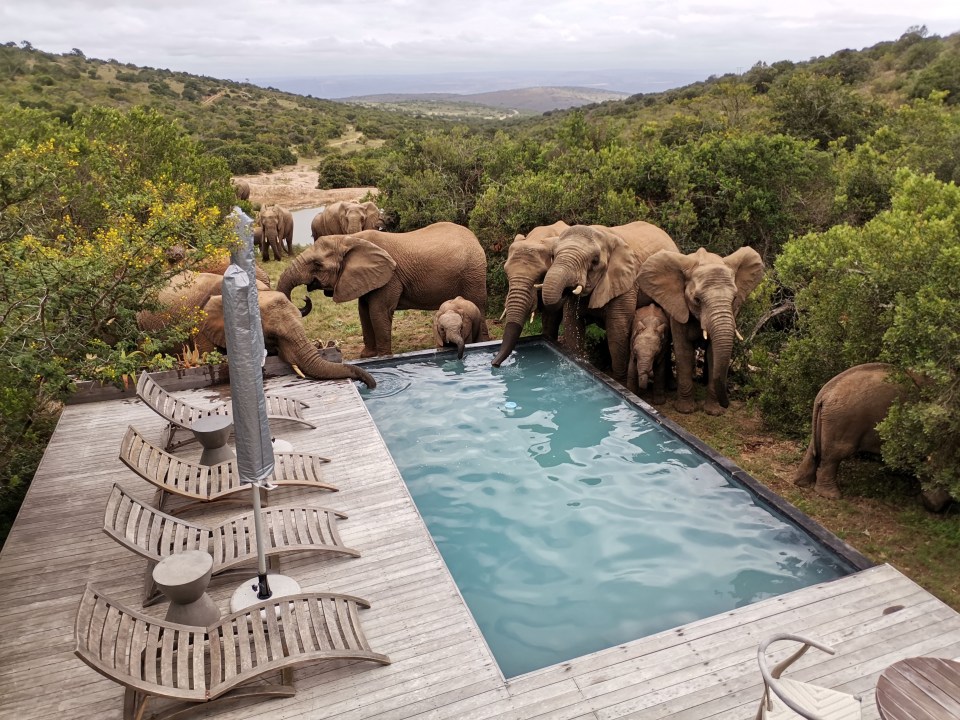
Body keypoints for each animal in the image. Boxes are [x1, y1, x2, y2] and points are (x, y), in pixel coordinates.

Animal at [276, 222, 488, 358]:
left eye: (317, 264)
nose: (304, 298)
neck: (349, 239)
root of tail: (475, 237)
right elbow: (363, 311)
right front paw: (367, 356)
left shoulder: (390, 277)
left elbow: (378, 311)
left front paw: (383, 357)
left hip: (473, 272)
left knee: (478, 303)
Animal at [540, 222, 684, 382]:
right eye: (553, 256)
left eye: (595, 261)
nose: (567, 289)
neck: (603, 234)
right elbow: (572, 324)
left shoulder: (627, 284)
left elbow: (617, 332)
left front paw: (618, 380)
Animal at [636, 248, 764, 416]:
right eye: (697, 300)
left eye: (734, 299)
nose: (726, 405)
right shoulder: (679, 308)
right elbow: (683, 351)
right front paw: (685, 410)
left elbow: (713, 353)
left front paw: (714, 412)